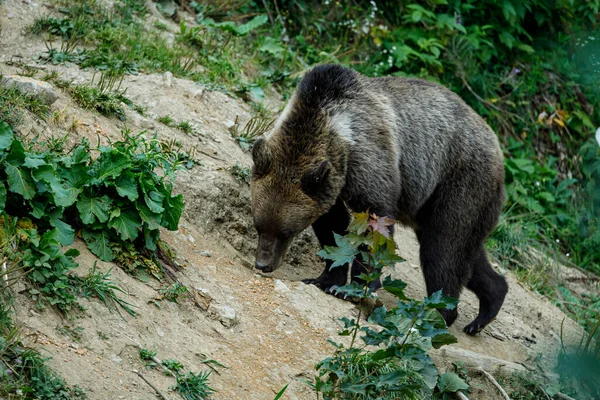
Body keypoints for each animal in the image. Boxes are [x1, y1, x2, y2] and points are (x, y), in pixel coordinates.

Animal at [251, 64, 508, 334]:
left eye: (286, 232)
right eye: (259, 226)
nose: (263, 264)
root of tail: (496, 144)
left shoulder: (368, 158)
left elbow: (375, 224)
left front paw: (355, 287)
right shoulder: (331, 185)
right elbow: (333, 229)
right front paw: (324, 279)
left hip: (460, 183)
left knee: (443, 248)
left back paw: (438, 313)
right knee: (466, 252)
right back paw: (486, 308)